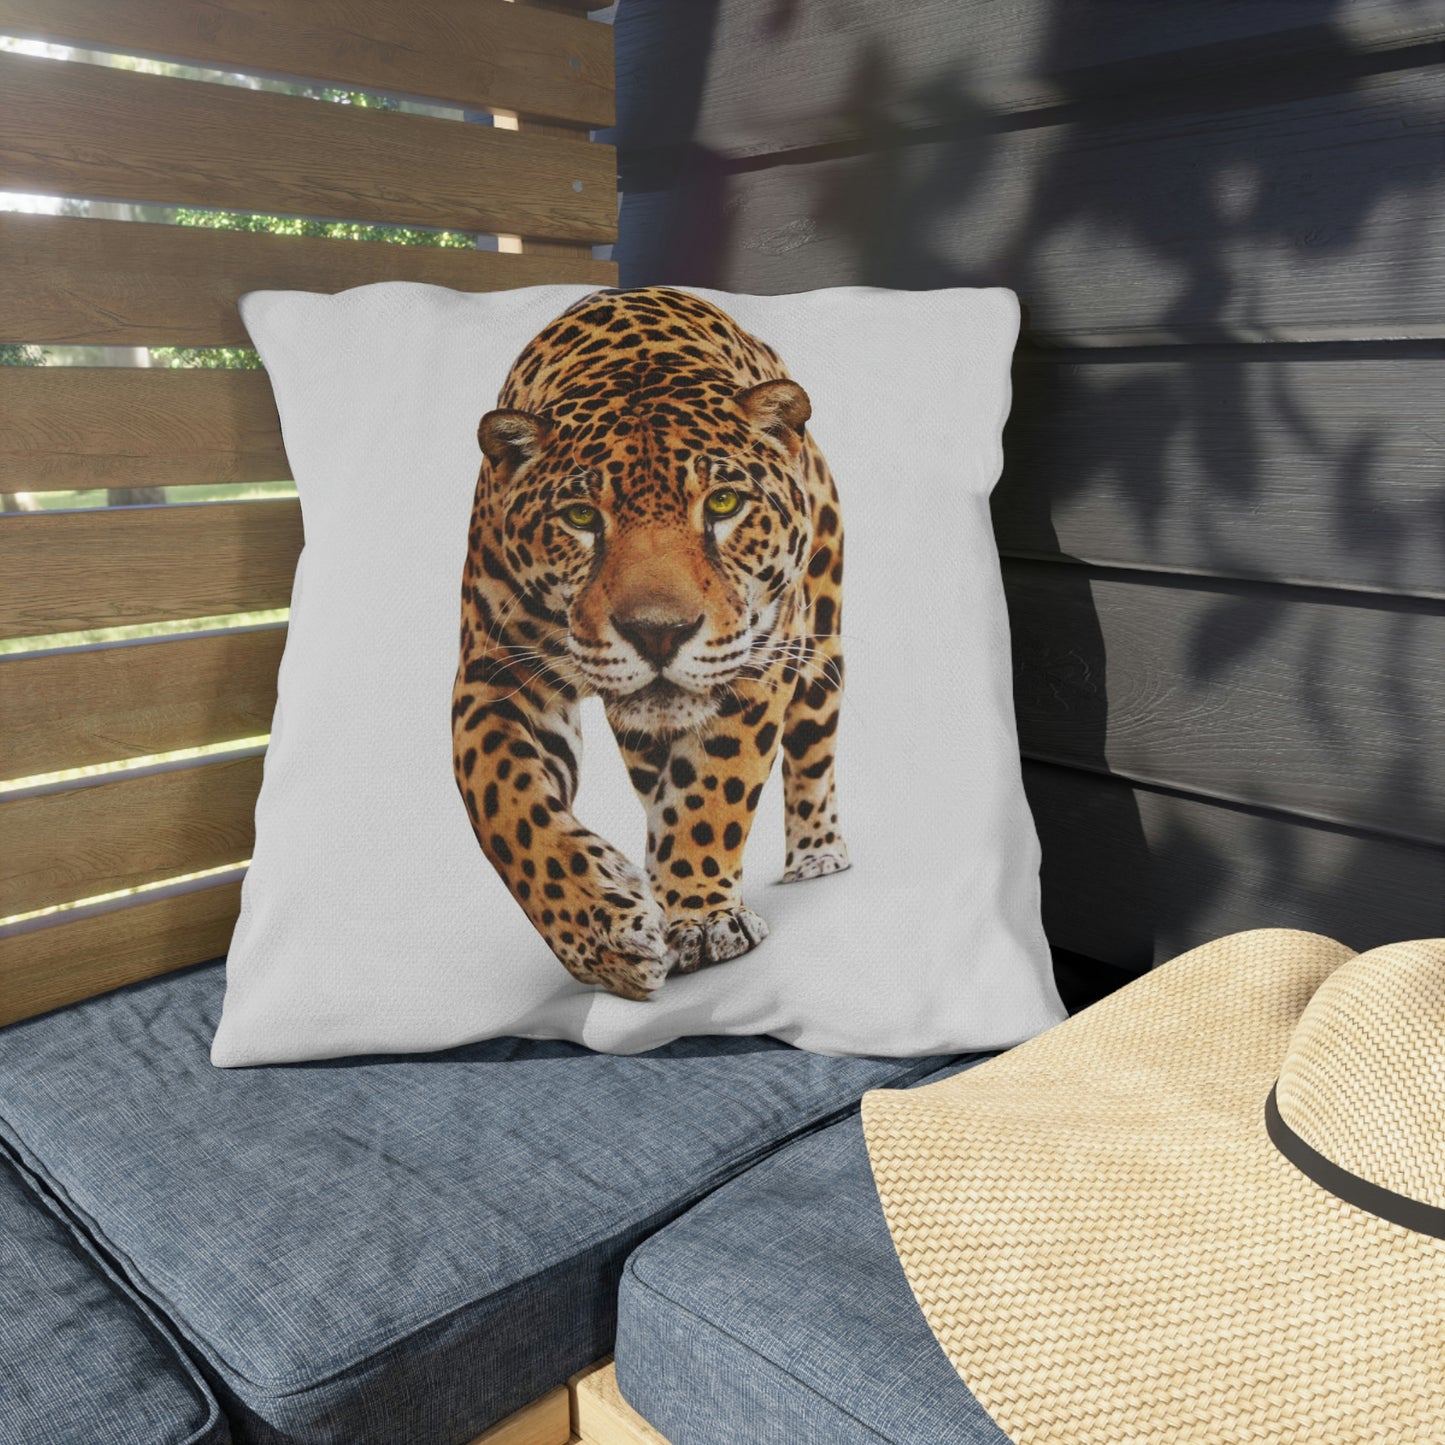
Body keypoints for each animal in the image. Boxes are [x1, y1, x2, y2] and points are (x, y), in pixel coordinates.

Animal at [451, 287, 847, 1000]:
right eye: (582, 517)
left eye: (724, 504)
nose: (658, 633)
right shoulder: (495, 674)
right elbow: (506, 809)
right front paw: (605, 936)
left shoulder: (758, 659)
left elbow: (716, 788)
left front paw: (702, 918)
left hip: (821, 639)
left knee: (813, 747)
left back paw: (817, 855)